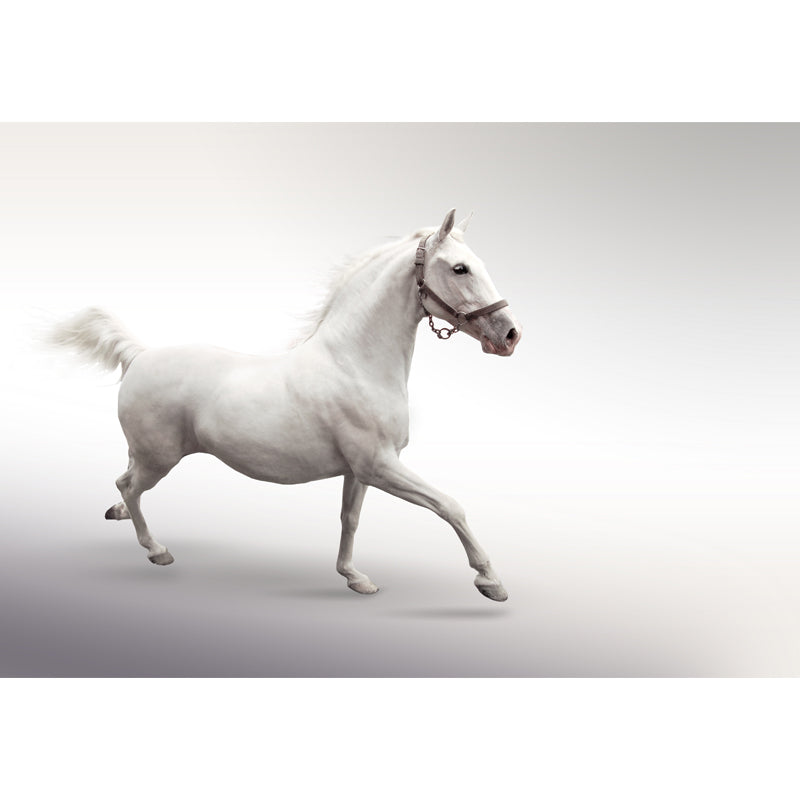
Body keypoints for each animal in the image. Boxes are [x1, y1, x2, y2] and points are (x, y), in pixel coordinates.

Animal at [47, 209, 521, 601]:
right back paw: (157, 550)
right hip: (159, 458)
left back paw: (118, 516)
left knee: (124, 483)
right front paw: (490, 581)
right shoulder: (380, 466)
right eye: (459, 268)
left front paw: (354, 577)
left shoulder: (359, 471)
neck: (355, 363)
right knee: (129, 485)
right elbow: (450, 506)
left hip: (145, 452)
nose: (510, 335)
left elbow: (350, 519)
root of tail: (138, 356)